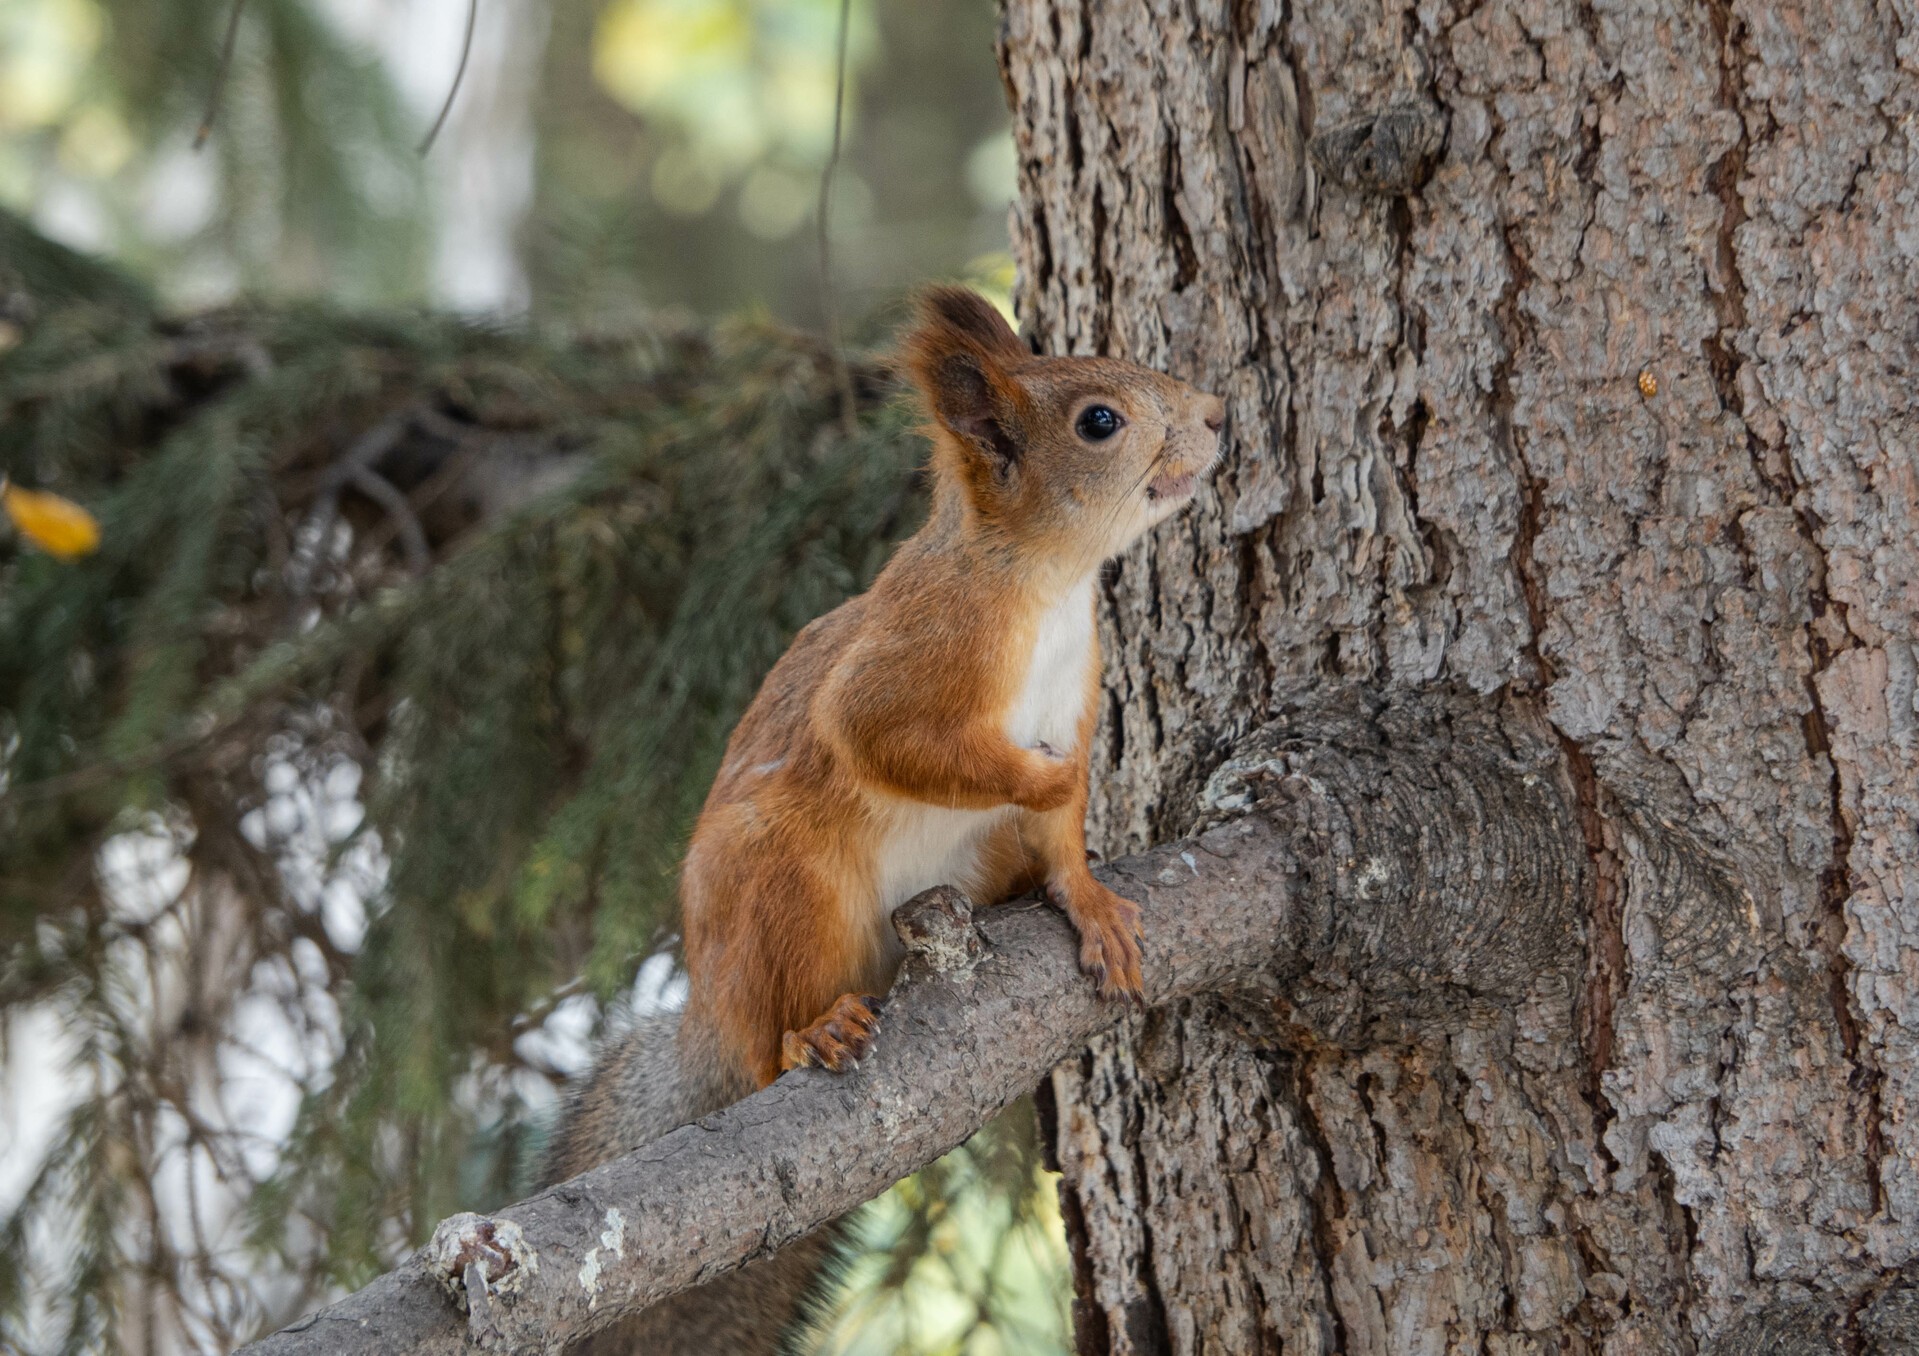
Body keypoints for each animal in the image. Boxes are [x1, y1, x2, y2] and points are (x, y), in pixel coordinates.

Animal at [667, 285, 1220, 1089]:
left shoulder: (1072, 697)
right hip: (782, 888)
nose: (1216, 413)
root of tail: (707, 1014)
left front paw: (1091, 904)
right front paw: (1054, 779)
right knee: (769, 1042)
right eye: (1099, 422)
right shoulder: (920, 650)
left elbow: (1062, 839)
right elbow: (888, 741)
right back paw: (811, 1032)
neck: (1046, 584)